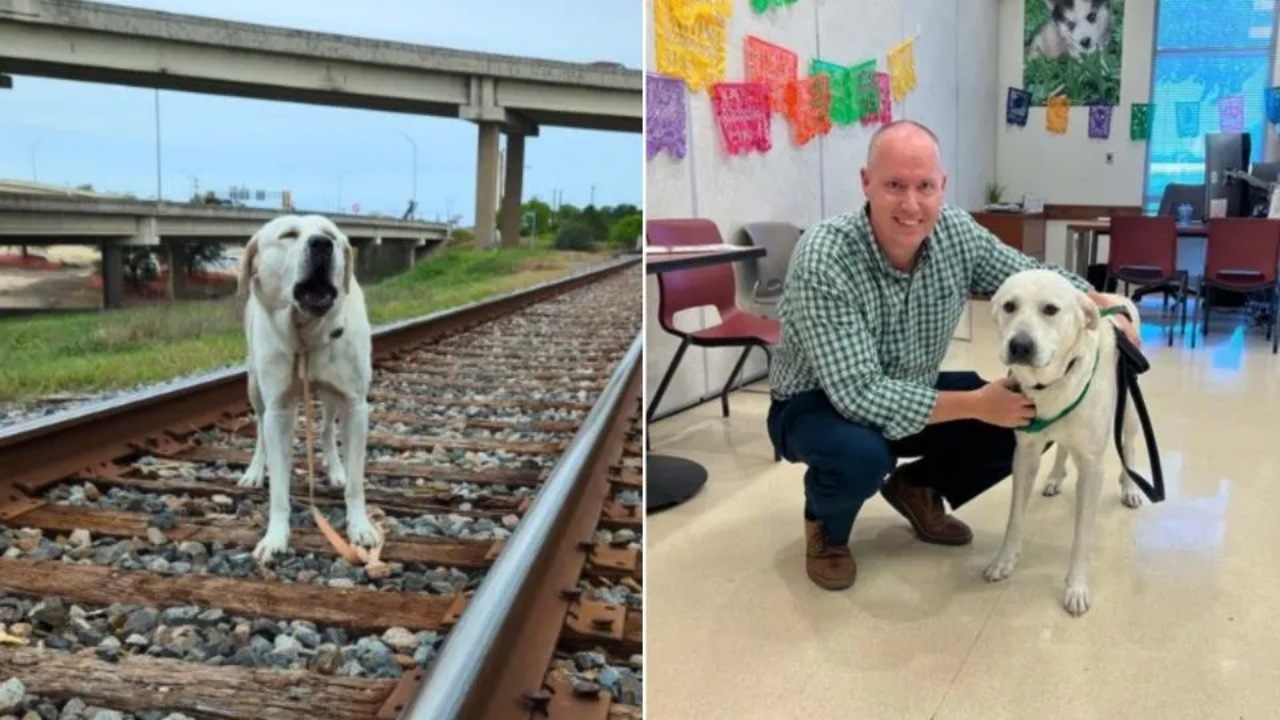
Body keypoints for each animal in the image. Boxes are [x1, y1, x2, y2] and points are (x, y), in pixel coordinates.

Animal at [238, 212, 381, 561]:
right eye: (288, 235)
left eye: (330, 234)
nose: (322, 244)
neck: (306, 334)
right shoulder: (278, 409)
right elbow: (279, 487)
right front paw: (275, 536)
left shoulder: (355, 405)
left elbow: (356, 481)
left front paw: (360, 527)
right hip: (254, 386)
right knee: (259, 428)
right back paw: (254, 470)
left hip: (331, 397)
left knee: (328, 429)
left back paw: (335, 469)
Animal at [983, 266, 1146, 614]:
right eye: (1009, 306)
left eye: (1050, 309)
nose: (1020, 345)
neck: (1051, 384)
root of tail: (1114, 296)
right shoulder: (1025, 454)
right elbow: (1014, 518)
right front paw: (1004, 560)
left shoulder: (1093, 468)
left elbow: (1082, 536)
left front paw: (1077, 587)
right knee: (1062, 447)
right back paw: (1055, 477)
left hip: (1128, 410)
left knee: (1129, 446)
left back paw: (1130, 487)